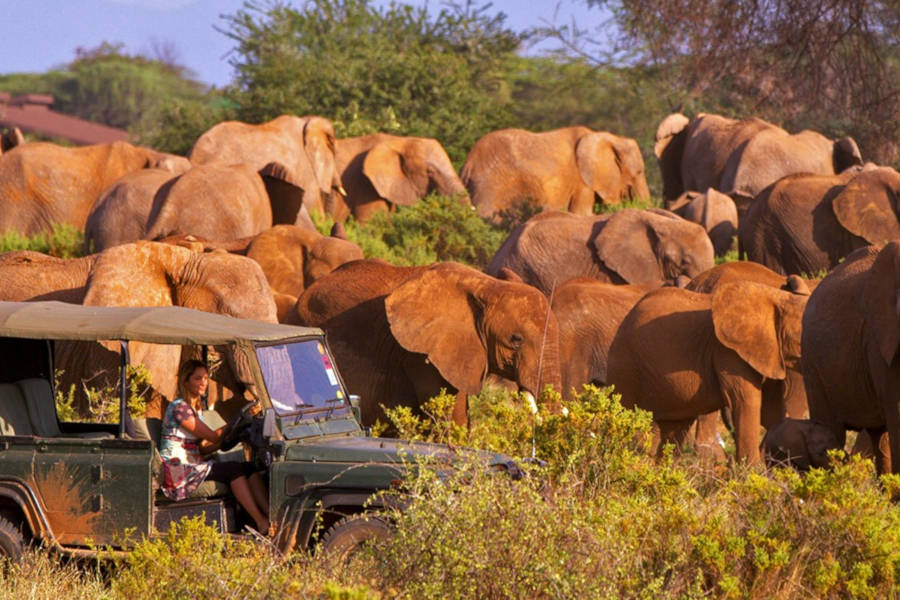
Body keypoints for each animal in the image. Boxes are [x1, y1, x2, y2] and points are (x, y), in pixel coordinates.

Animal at [607, 281, 809, 464]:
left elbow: (772, 409)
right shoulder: (727, 351)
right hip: (625, 365)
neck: (777, 297)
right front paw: (754, 474)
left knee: (672, 428)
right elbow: (745, 401)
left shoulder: (769, 352)